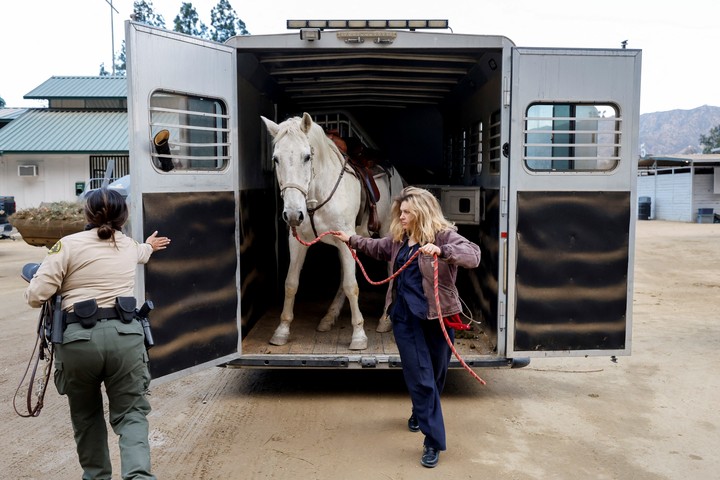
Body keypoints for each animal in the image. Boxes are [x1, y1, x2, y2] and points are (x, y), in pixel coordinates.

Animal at [260, 114, 404, 350]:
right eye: (276, 159)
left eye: (307, 157)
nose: (293, 214)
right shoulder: (298, 242)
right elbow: (291, 283)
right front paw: (281, 330)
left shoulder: (347, 241)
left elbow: (352, 285)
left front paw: (359, 335)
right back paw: (329, 316)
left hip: (387, 233)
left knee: (391, 270)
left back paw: (385, 319)